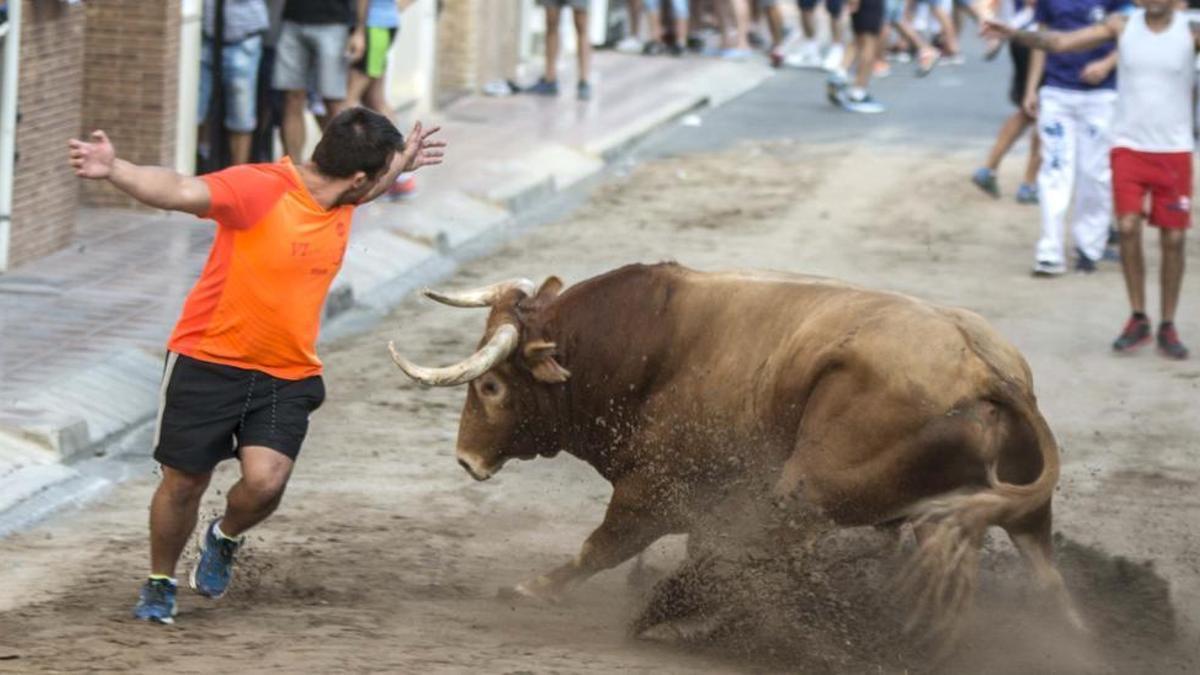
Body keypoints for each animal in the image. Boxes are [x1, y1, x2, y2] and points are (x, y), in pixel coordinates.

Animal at [388, 263, 1084, 634]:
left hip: (810, 494)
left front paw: (535, 588)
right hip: (1006, 513)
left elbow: (602, 548)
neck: (647, 345)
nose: (466, 459)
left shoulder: (654, 492)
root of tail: (985, 369)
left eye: (491, 385)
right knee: (1046, 581)